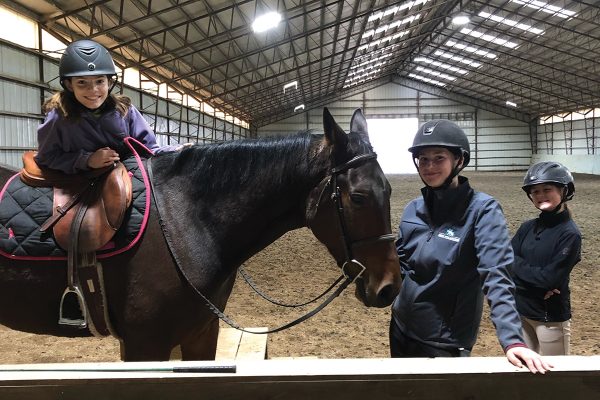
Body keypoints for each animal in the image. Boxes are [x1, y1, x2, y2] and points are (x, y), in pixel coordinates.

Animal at [1, 108, 404, 360]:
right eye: (358, 196)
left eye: (388, 189)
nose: (389, 287)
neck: (183, 220)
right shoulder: (145, 345)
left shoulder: (200, 334)